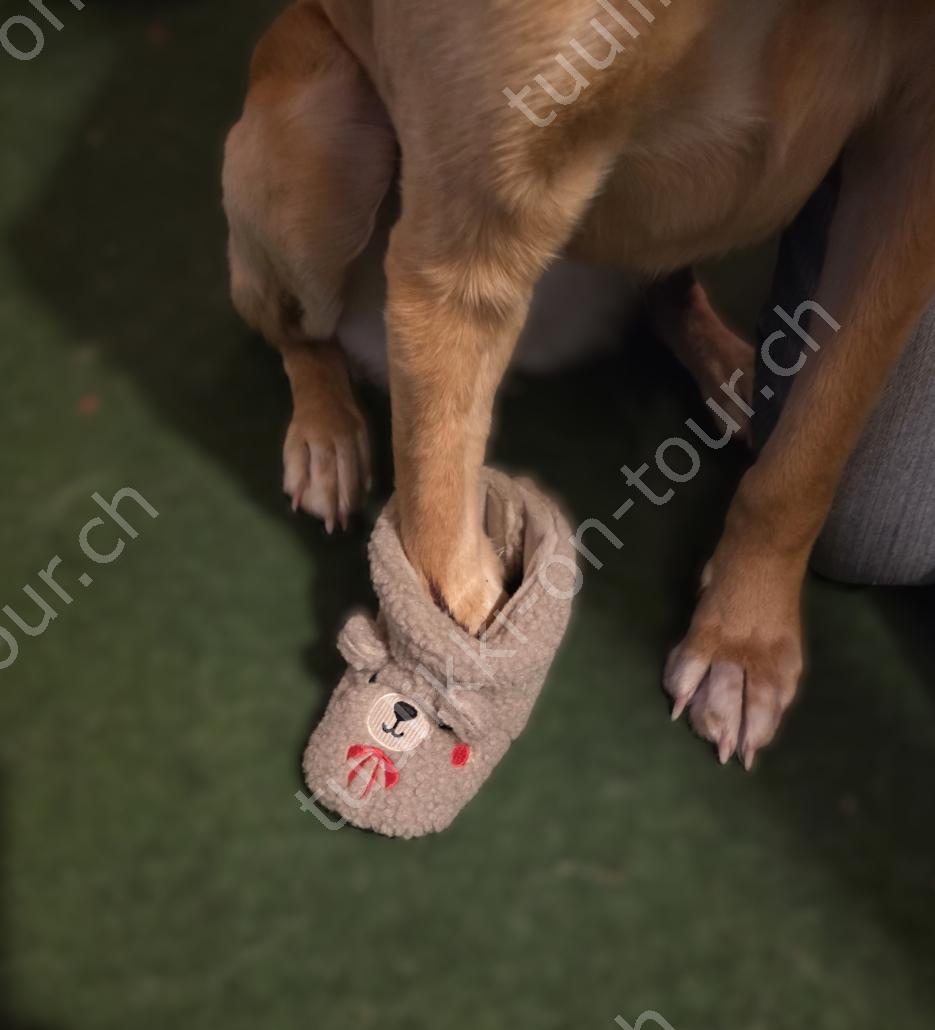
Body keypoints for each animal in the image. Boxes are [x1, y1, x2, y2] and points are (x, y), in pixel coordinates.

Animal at [222, 0, 935, 768]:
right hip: (322, 143)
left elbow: (803, 467)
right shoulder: (466, 244)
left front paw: (744, 643)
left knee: (669, 290)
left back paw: (732, 369)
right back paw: (327, 435)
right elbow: (446, 558)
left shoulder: (907, 184)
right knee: (295, 330)